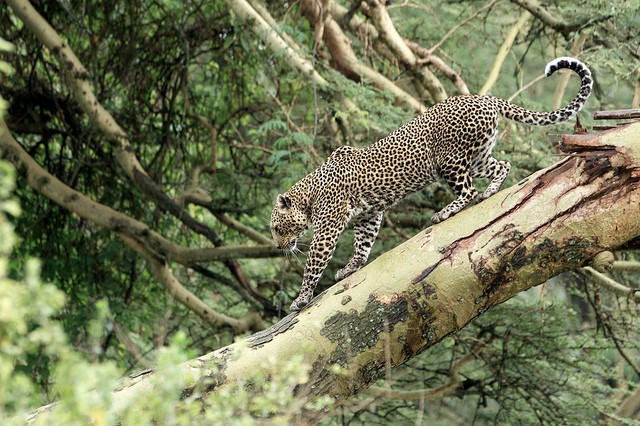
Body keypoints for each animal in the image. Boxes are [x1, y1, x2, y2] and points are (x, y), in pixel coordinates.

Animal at [268, 56, 592, 312]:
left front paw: (301, 299)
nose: (277, 247)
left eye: (276, 228)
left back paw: (445, 212)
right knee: (502, 166)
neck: (308, 195)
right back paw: (491, 192)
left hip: (449, 160)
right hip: (478, 156)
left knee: (468, 190)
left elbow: (313, 265)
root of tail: (482, 97)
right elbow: (363, 244)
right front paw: (351, 267)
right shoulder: (368, 216)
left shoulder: (327, 230)